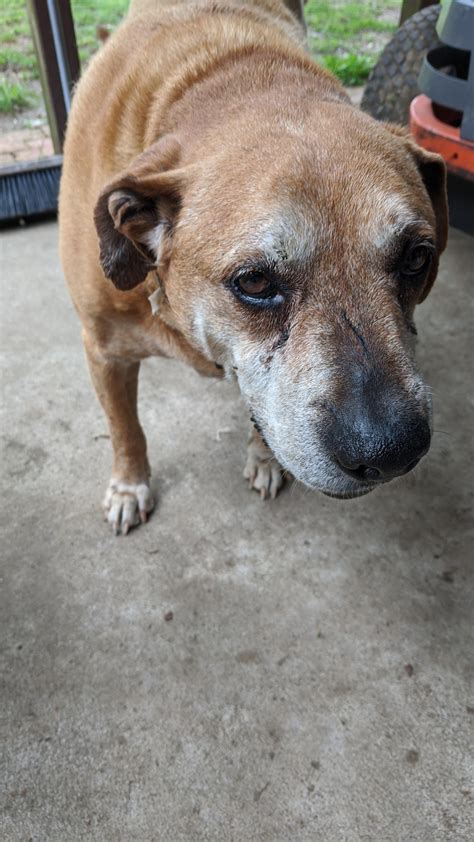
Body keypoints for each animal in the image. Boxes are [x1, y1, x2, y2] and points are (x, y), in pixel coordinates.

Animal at [59, 0, 448, 532]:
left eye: (416, 258)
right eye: (256, 281)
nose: (392, 452)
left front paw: (264, 457)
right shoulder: (103, 349)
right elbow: (125, 426)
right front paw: (128, 483)